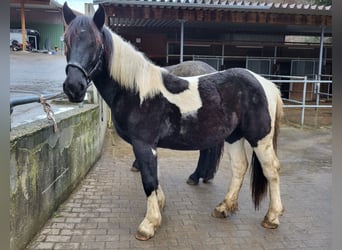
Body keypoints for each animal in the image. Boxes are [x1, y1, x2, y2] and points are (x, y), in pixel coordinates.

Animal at [62, 2, 284, 240]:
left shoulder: (144, 144)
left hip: (259, 138)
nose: (73, 87)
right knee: (240, 167)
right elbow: (154, 176)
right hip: (234, 136)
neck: (136, 91)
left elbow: (149, 179)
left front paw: (149, 224)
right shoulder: (149, 146)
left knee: (271, 169)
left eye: (95, 43)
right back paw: (224, 207)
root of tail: (265, 83)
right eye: (66, 41)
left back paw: (272, 217)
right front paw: (160, 206)